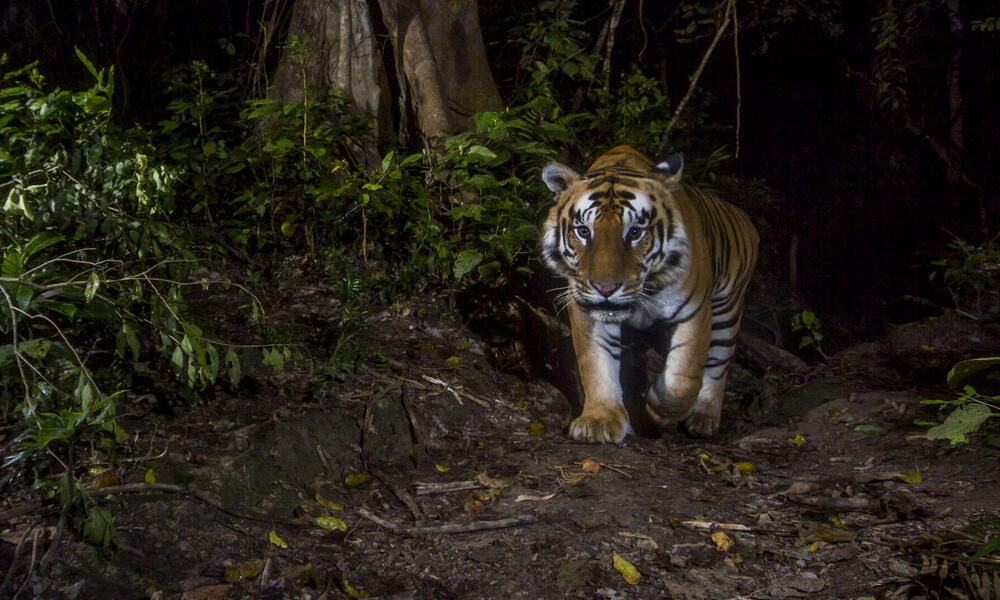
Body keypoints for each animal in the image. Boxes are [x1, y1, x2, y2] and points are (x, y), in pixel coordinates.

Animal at [540, 147, 756, 442]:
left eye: (635, 232)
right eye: (584, 231)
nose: (605, 288)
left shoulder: (696, 311)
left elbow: (683, 376)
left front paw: (657, 407)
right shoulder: (587, 309)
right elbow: (596, 363)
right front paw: (600, 421)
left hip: (727, 312)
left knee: (717, 365)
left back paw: (703, 419)